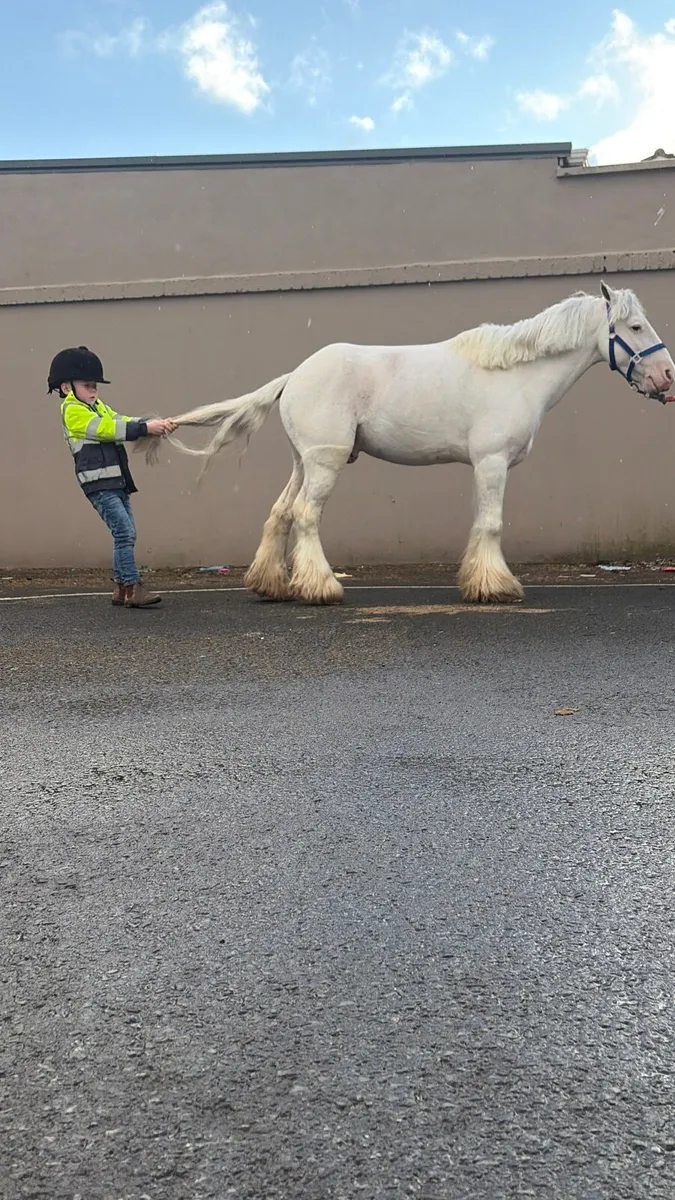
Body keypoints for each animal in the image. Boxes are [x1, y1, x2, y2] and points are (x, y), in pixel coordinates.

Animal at [143, 281, 674, 605]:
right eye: (634, 327)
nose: (667, 375)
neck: (516, 375)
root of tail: (295, 375)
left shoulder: (483, 467)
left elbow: (480, 525)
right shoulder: (492, 463)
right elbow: (491, 524)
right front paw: (497, 586)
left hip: (303, 462)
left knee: (280, 514)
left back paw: (273, 585)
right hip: (326, 463)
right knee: (307, 516)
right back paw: (322, 587)